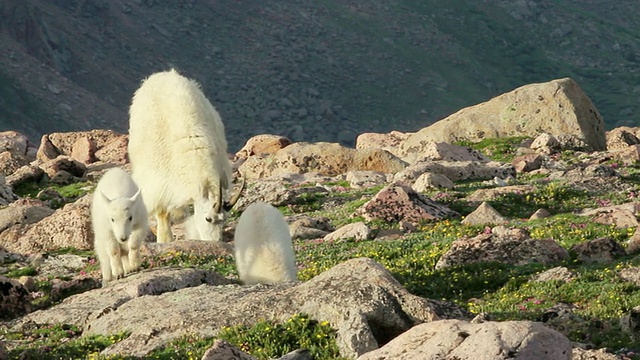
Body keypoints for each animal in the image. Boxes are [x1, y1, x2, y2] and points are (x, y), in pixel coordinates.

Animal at [129, 69, 244, 243]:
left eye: (224, 220)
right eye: (208, 218)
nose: (215, 242)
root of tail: (163, 74)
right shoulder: (158, 180)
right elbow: (162, 212)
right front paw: (165, 239)